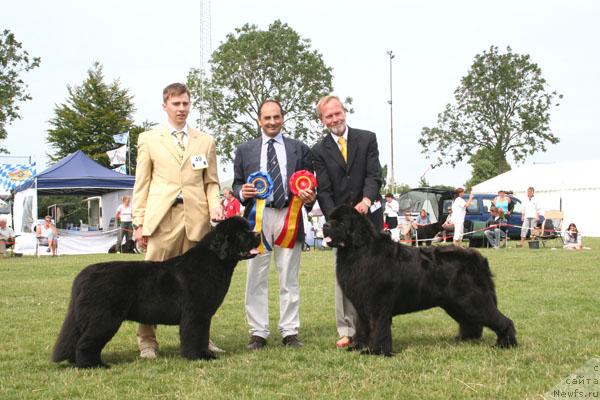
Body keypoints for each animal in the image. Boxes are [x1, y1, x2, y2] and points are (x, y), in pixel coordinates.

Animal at [55, 217, 262, 368]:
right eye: (241, 233)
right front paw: (198, 356)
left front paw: (204, 353)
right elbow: (195, 335)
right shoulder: (196, 313)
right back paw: (92, 365)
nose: (258, 234)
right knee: (86, 342)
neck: (215, 261)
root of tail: (83, 275)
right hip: (104, 318)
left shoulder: (203, 315)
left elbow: (202, 336)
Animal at [324, 206, 516, 356]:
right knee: (470, 321)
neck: (359, 251)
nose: (325, 225)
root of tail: (478, 258)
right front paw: (358, 346)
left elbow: (378, 327)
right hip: (456, 303)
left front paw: (377, 352)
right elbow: (362, 326)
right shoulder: (361, 304)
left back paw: (506, 343)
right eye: (330, 218)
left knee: (500, 319)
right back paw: (466, 338)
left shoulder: (378, 302)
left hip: (473, 299)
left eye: (341, 223)